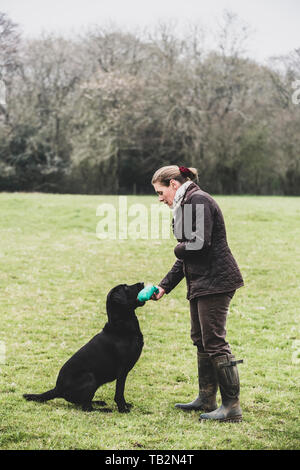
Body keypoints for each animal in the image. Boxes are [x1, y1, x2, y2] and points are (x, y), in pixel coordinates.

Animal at [23, 282, 144, 412]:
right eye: (125, 287)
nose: (142, 283)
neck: (121, 324)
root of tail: (57, 389)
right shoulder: (122, 370)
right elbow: (119, 393)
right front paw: (123, 409)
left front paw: (126, 405)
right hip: (90, 378)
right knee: (86, 407)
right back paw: (103, 409)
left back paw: (98, 402)